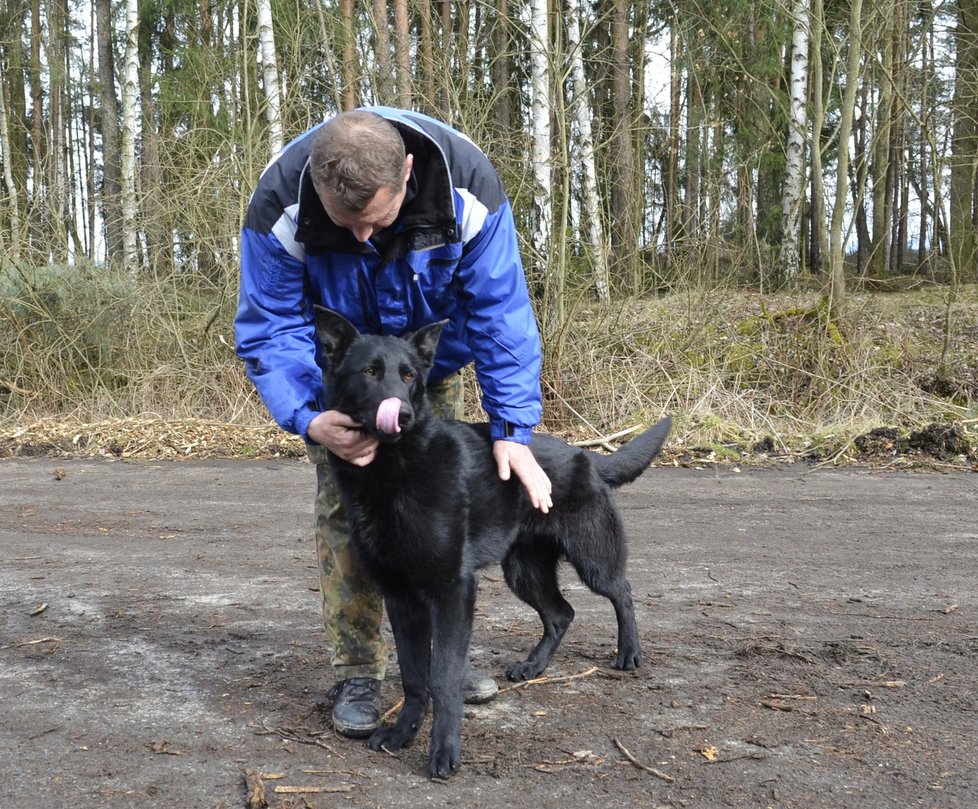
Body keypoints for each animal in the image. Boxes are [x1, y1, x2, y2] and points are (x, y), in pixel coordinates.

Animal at [312, 306, 672, 780]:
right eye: (370, 372)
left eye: (408, 376)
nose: (402, 414)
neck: (394, 470)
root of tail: (587, 456)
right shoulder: (401, 599)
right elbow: (414, 676)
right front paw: (404, 732)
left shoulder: (452, 590)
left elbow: (443, 676)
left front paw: (444, 750)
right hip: (523, 571)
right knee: (562, 613)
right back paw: (534, 665)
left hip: (592, 559)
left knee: (622, 592)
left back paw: (629, 652)